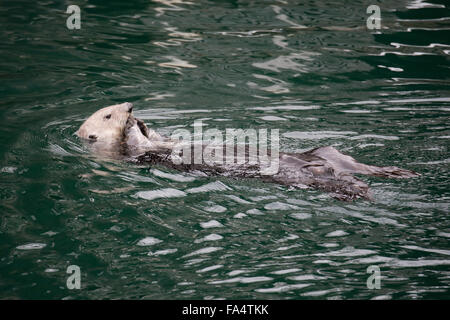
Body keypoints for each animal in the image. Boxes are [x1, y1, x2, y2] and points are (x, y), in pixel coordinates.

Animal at [76, 102, 418, 200]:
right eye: (108, 115)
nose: (130, 107)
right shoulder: (132, 155)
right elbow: (137, 145)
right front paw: (132, 127)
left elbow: (161, 138)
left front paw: (143, 123)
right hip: (309, 175)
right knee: (340, 181)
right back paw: (363, 192)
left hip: (328, 151)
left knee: (353, 164)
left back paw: (398, 172)